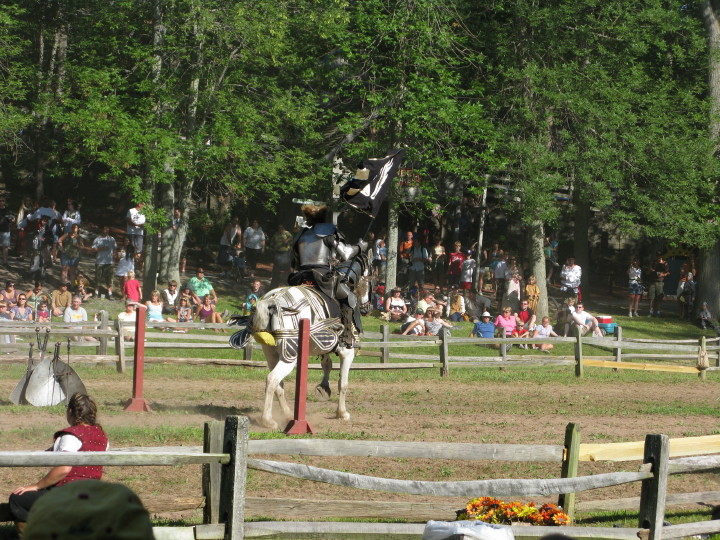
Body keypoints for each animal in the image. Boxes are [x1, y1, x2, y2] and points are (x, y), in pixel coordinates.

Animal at [231, 255, 372, 428]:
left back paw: (286, 413)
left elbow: (327, 364)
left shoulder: (323, 346)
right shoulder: (347, 352)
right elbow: (343, 383)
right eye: (369, 280)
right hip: (289, 357)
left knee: (278, 385)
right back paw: (268, 420)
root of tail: (272, 300)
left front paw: (324, 388)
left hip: (271, 353)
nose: (366, 308)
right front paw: (342, 413)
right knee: (272, 379)